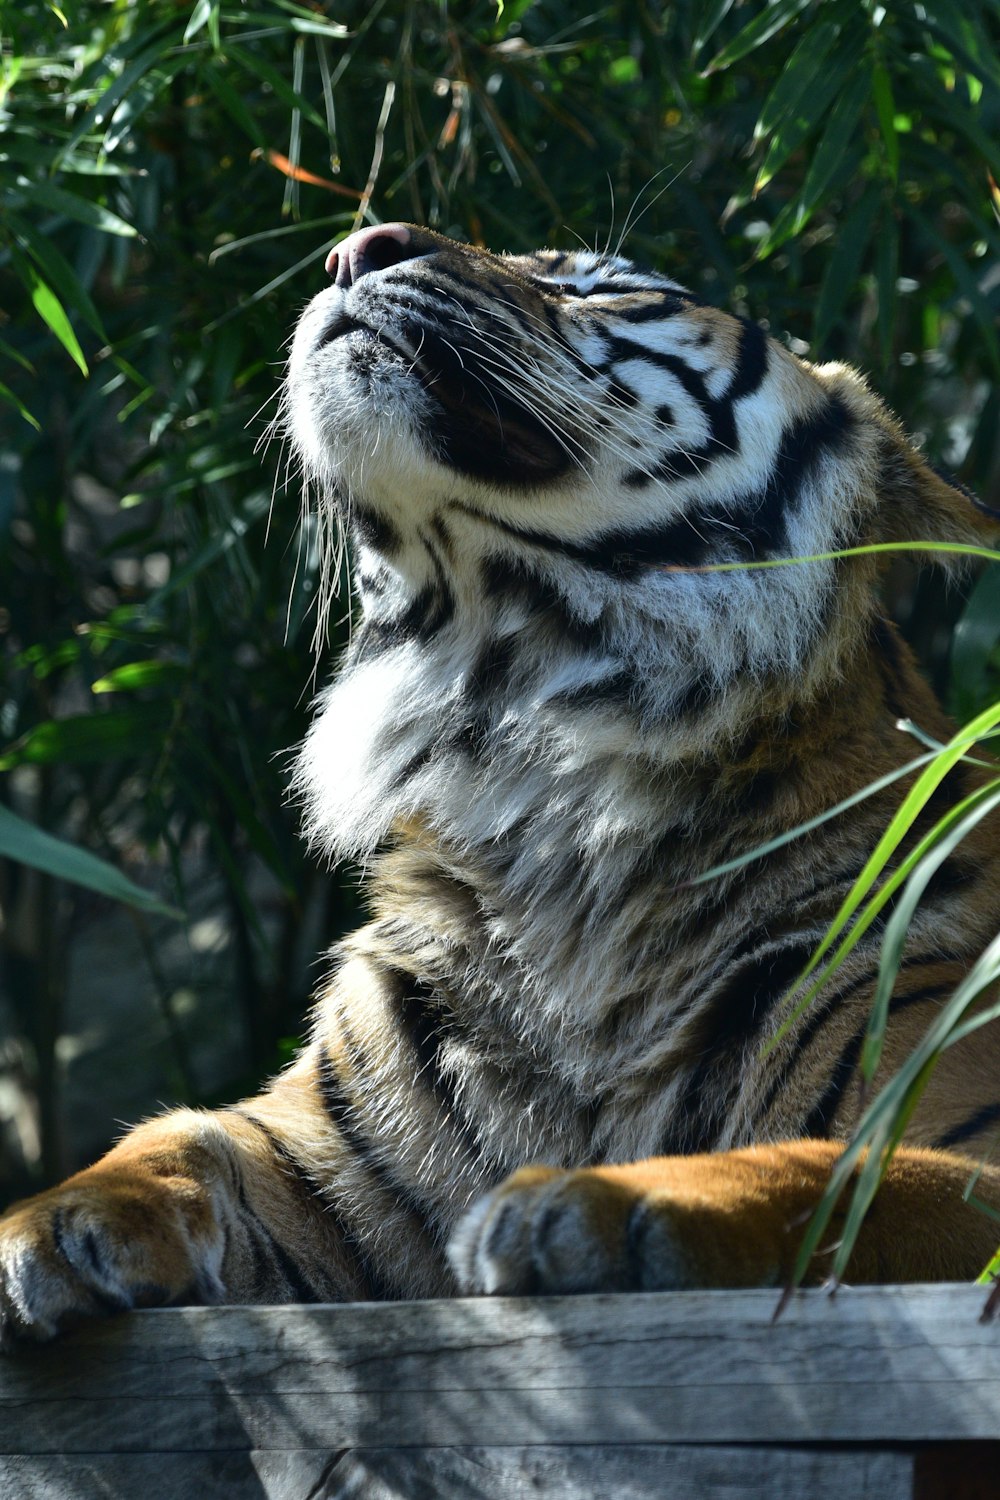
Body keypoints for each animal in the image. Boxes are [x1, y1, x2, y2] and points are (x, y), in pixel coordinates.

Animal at [1, 214, 1000, 1350]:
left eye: (607, 289)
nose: (358, 245)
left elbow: (838, 1171)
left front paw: (605, 1199)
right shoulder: (326, 1147)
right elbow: (183, 1135)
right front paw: (59, 1219)